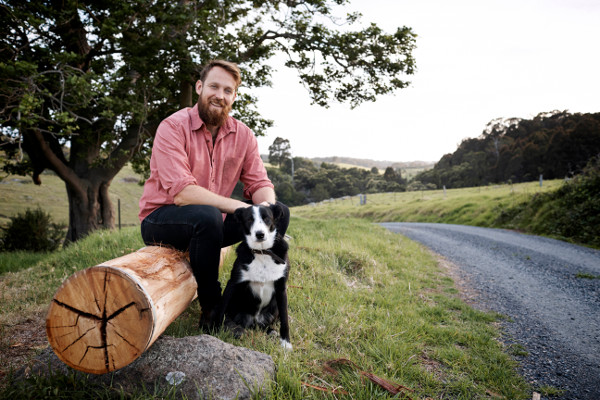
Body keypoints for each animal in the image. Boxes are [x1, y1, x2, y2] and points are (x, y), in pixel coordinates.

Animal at [217, 203, 292, 350]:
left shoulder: (281, 288)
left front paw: (286, 343)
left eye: (267, 218)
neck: (262, 252)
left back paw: (272, 332)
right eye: (249, 220)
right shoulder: (233, 283)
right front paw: (212, 330)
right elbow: (221, 310)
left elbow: (285, 319)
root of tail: (254, 321)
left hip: (273, 309)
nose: (260, 234)